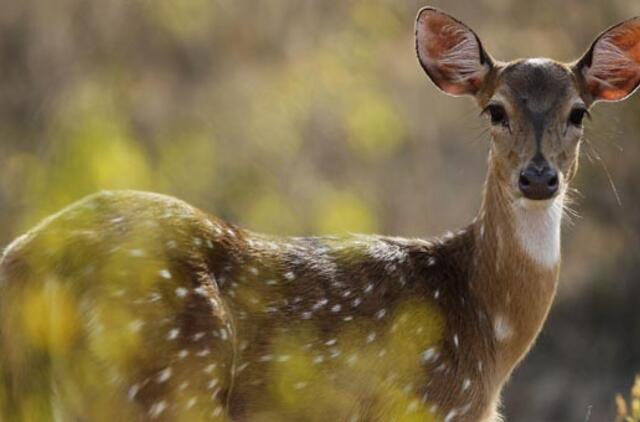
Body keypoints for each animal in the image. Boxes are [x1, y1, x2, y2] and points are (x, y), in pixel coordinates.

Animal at [1, 6, 640, 422]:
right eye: (495, 110)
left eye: (579, 112)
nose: (538, 177)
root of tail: (30, 264)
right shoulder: (427, 404)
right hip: (164, 383)